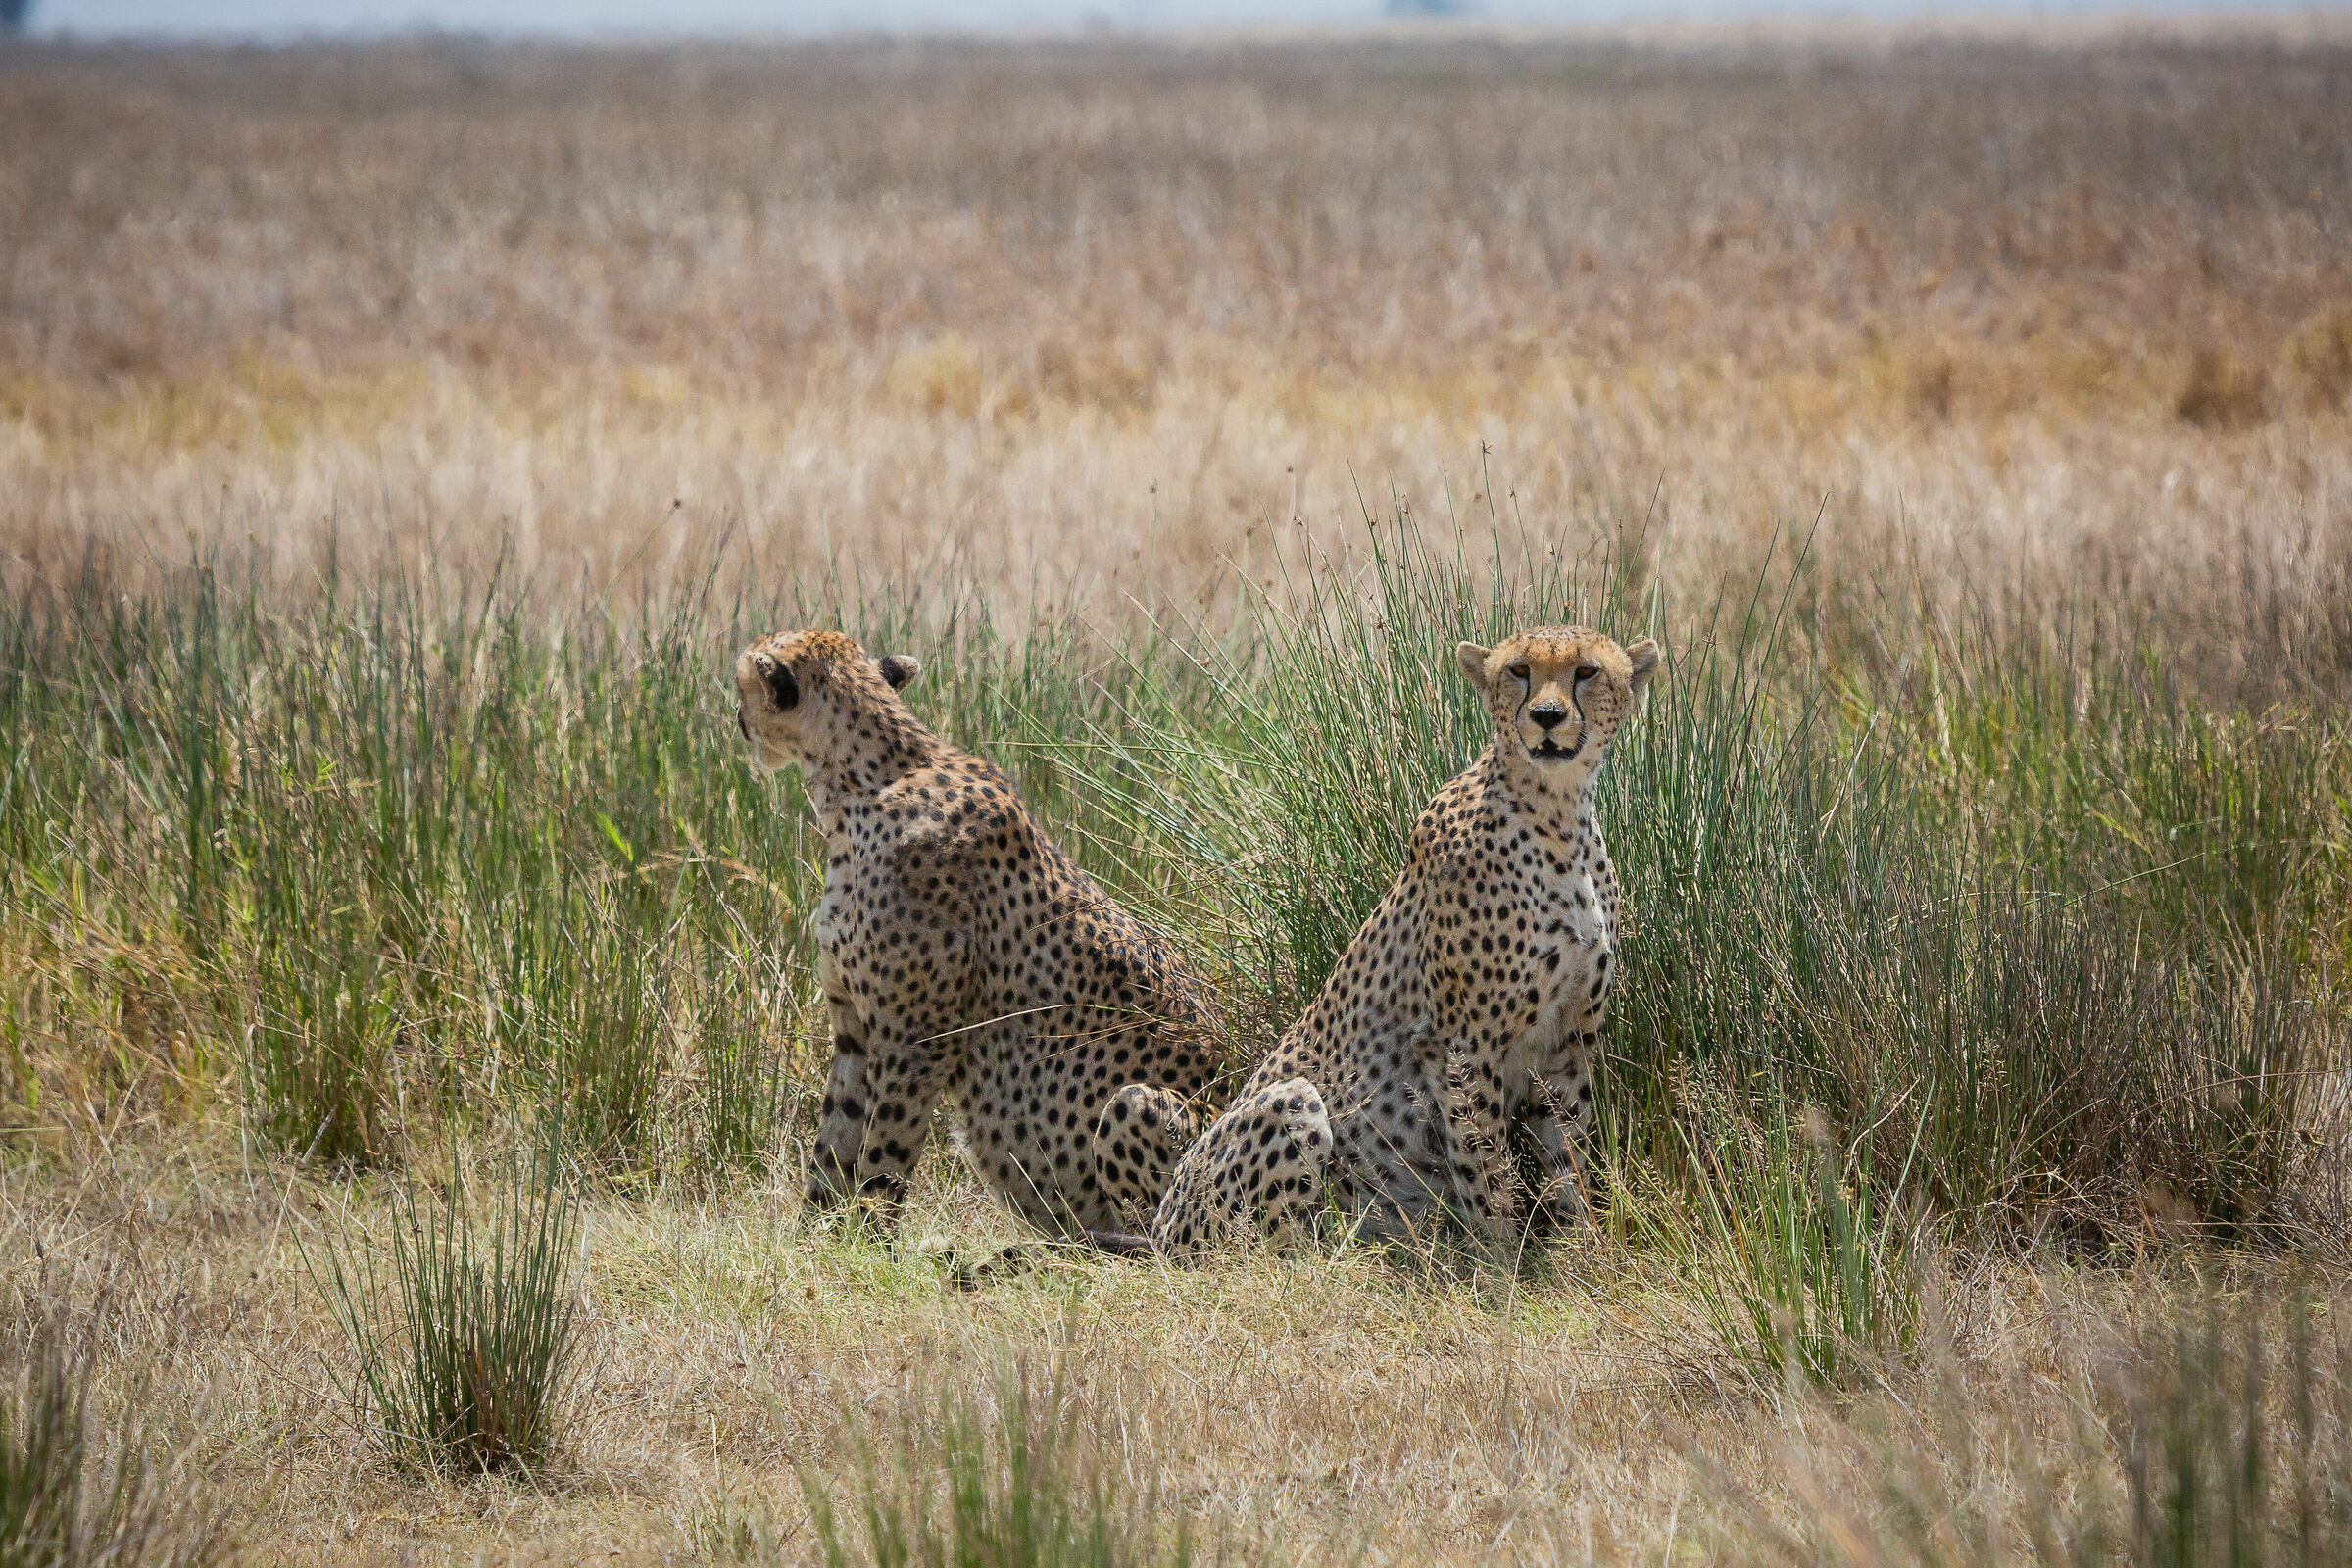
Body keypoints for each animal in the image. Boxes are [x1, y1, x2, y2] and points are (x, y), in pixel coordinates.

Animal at [733, 629, 1223, 1241]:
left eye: (742, 687)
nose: (735, 717)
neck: (859, 785)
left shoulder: (918, 1037)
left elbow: (885, 1147)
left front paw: (870, 1239)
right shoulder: (854, 1029)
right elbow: (835, 1138)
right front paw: (813, 1239)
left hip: (1141, 1110)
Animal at [1124, 625, 1660, 1258]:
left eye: (1586, 672)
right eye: (1519, 672)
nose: (1547, 717)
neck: (1558, 814)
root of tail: (1160, 1229)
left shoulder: (1569, 1042)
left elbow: (1566, 1154)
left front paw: (1582, 1253)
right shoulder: (1462, 1045)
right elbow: (1486, 1165)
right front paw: (1501, 1261)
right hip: (1290, 1105)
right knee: (1261, 1251)